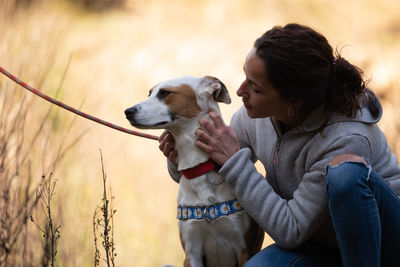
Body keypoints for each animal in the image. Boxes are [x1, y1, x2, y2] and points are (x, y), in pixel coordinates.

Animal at [124, 76, 262, 267]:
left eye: (165, 93)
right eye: (149, 93)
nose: (127, 111)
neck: (199, 169)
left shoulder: (245, 250)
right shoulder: (192, 253)